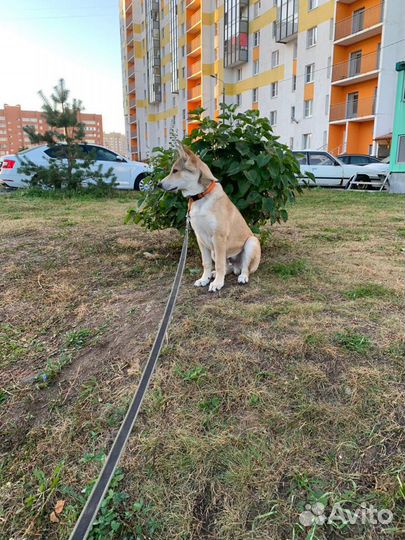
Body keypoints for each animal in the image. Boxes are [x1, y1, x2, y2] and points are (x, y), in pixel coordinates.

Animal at [158, 143, 258, 292]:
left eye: (175, 171)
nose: (158, 185)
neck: (201, 197)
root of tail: (237, 267)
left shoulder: (218, 237)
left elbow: (220, 264)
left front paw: (217, 284)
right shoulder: (200, 237)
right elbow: (206, 263)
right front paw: (204, 279)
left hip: (251, 242)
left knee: (245, 267)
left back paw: (242, 277)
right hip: (214, 252)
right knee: (227, 266)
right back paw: (215, 274)